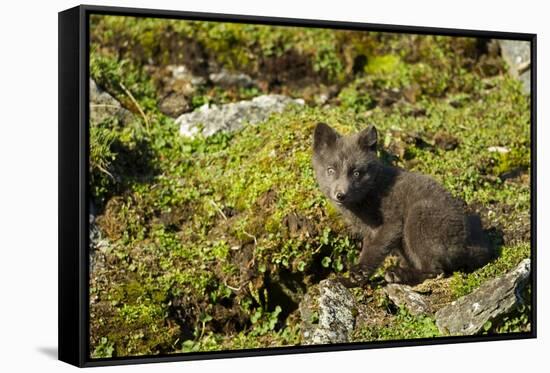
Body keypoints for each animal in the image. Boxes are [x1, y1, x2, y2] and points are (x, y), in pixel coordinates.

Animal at [312, 122, 494, 284]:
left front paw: (354, 277)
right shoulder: (369, 231)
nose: (340, 195)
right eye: (330, 170)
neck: (372, 190)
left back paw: (398, 274)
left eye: (356, 173)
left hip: (418, 218)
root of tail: (466, 245)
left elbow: (373, 251)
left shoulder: (391, 224)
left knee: (435, 270)